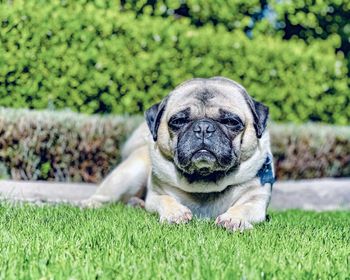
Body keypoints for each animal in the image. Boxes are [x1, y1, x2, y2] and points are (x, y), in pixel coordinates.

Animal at [82, 76, 274, 232]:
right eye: (179, 121)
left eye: (231, 122)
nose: (203, 127)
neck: (205, 182)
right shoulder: (157, 194)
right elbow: (166, 199)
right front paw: (175, 213)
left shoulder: (256, 200)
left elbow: (244, 207)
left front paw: (234, 219)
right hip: (130, 173)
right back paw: (89, 205)